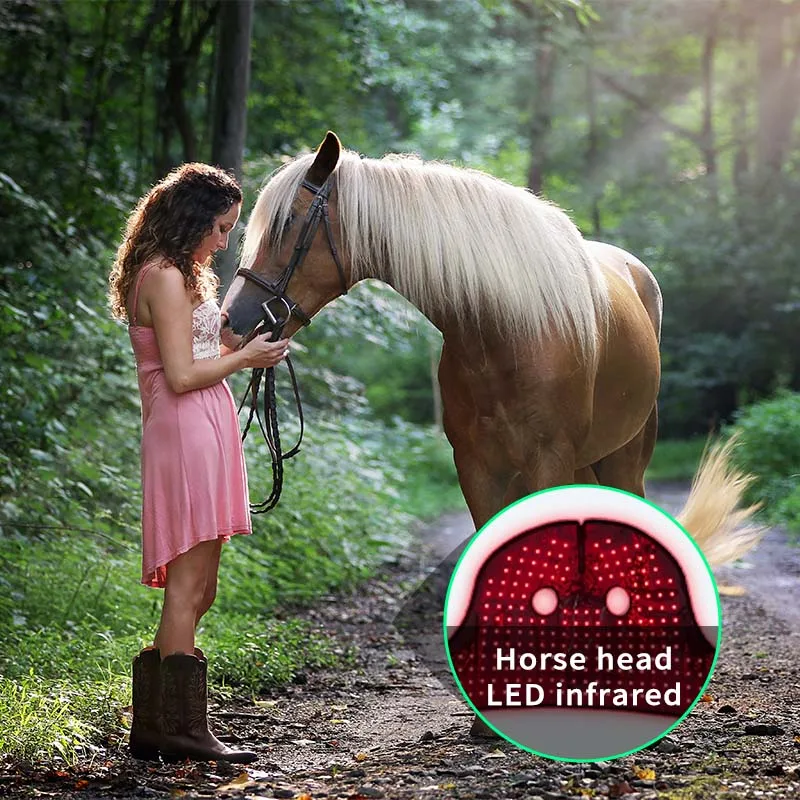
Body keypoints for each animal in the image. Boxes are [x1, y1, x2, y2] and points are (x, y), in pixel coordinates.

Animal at [220, 131, 761, 569]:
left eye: (288, 223)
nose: (232, 321)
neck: (505, 336)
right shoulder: (477, 468)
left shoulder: (549, 461)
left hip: (626, 458)